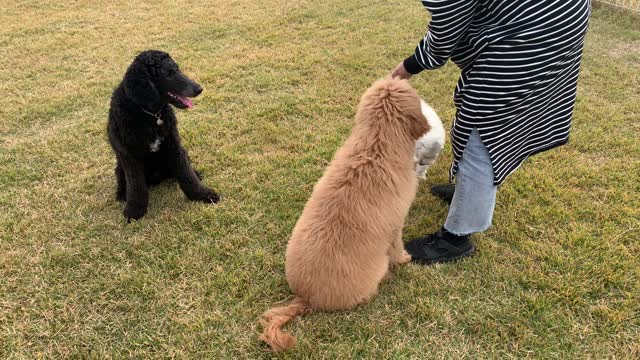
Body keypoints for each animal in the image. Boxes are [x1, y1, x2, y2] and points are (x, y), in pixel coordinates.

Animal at [258, 79, 430, 352]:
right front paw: (405, 259)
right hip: (376, 270)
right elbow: (397, 246)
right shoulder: (396, 224)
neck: (376, 145)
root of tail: (306, 298)